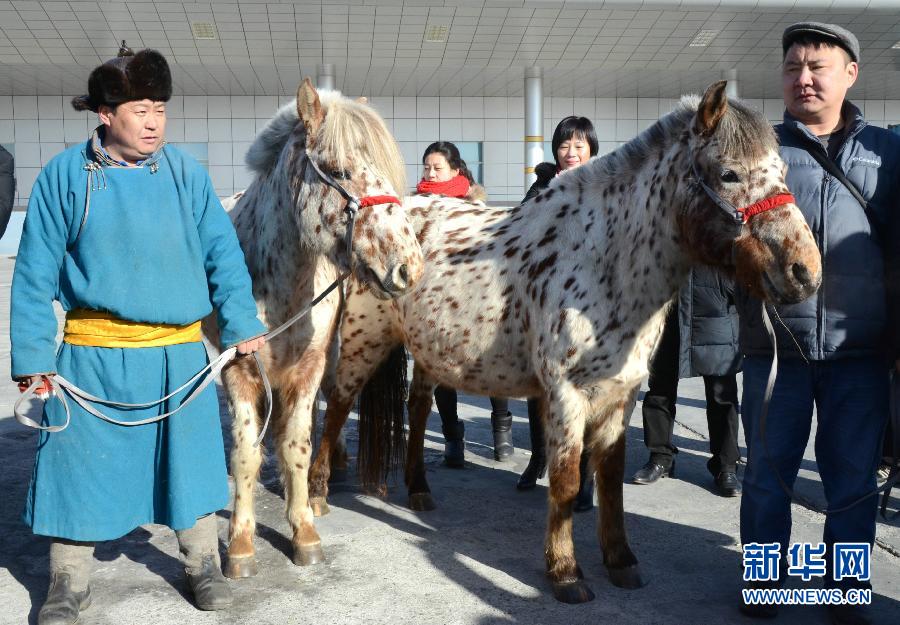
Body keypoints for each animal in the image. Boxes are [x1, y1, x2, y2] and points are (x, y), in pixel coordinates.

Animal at [203, 79, 426, 580]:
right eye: (340, 171)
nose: (409, 267)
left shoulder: (308, 367)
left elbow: (297, 445)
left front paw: (303, 528)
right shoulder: (238, 371)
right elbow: (246, 452)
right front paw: (241, 543)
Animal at [308, 81, 824, 600]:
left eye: (781, 172)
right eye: (728, 172)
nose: (805, 271)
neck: (603, 260)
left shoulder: (622, 395)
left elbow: (609, 478)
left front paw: (621, 561)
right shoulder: (565, 393)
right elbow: (566, 476)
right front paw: (565, 571)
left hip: (430, 352)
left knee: (415, 410)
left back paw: (418, 490)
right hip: (363, 344)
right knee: (336, 407)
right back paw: (316, 495)